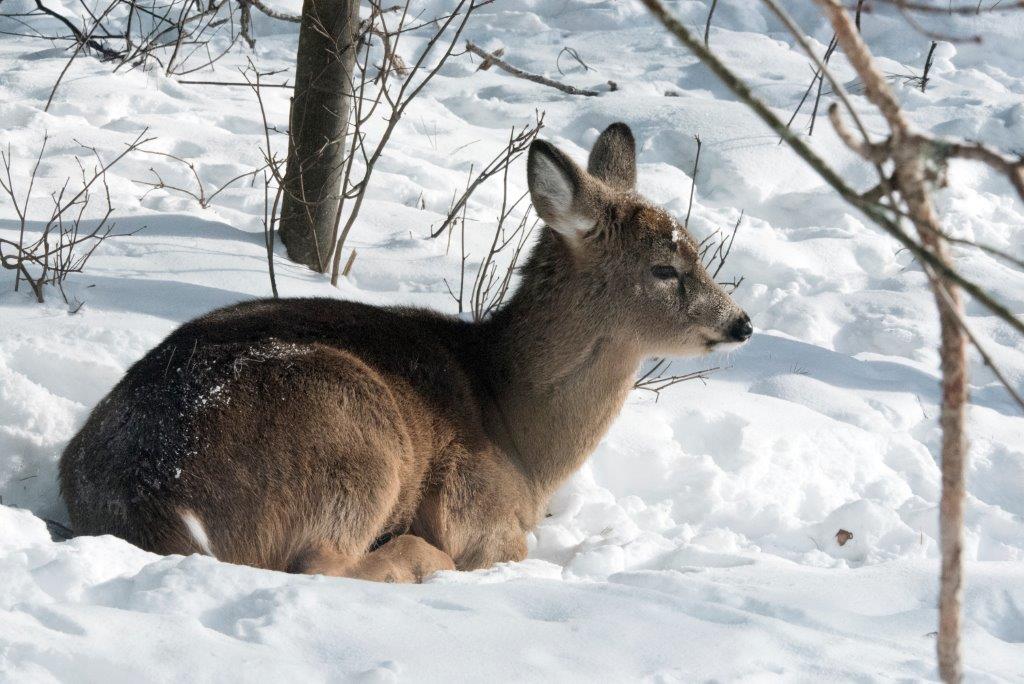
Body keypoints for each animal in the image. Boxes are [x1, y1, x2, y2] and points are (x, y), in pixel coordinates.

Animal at [60, 123, 752, 583]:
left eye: (695, 252)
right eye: (665, 268)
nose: (742, 323)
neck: (524, 439)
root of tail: (152, 495)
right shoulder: (479, 507)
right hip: (355, 439)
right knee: (319, 564)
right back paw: (417, 559)